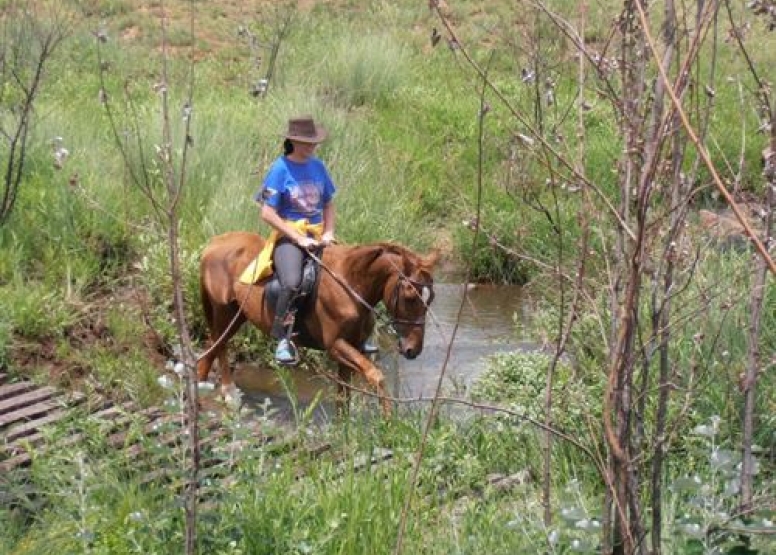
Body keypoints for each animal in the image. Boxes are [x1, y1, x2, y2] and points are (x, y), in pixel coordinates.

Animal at [197, 231, 440, 416]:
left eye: (431, 298)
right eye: (410, 297)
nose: (413, 349)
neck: (349, 284)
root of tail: (213, 245)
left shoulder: (351, 348)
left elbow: (343, 397)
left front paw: (343, 430)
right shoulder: (336, 346)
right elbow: (375, 375)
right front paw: (388, 420)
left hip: (238, 314)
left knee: (212, 344)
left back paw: (200, 384)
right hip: (224, 310)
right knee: (219, 345)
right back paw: (228, 392)